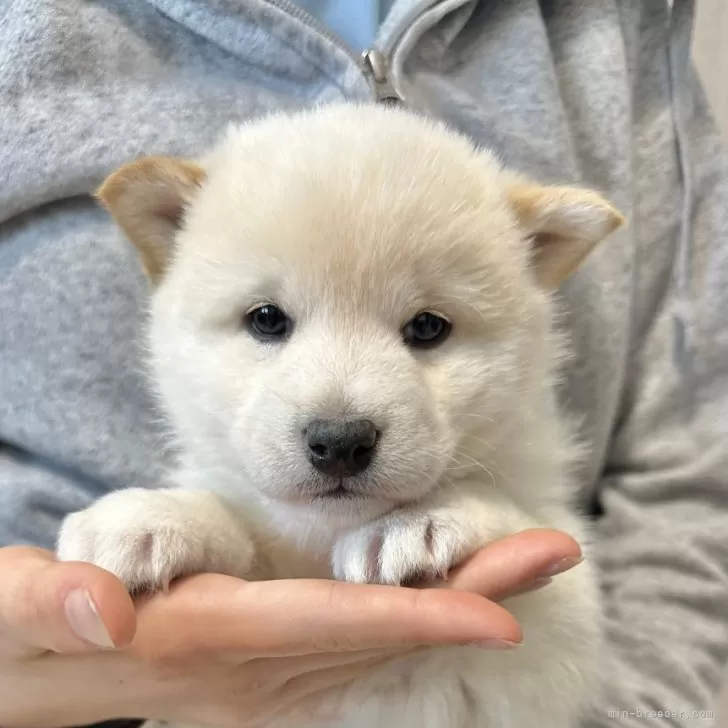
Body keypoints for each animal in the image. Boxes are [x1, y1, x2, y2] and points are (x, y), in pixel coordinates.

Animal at [58, 102, 624, 728]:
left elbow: (514, 516)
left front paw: (422, 521)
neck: (319, 540)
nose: (340, 441)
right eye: (266, 319)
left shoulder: (558, 634)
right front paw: (146, 518)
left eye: (428, 326)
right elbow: (234, 522)